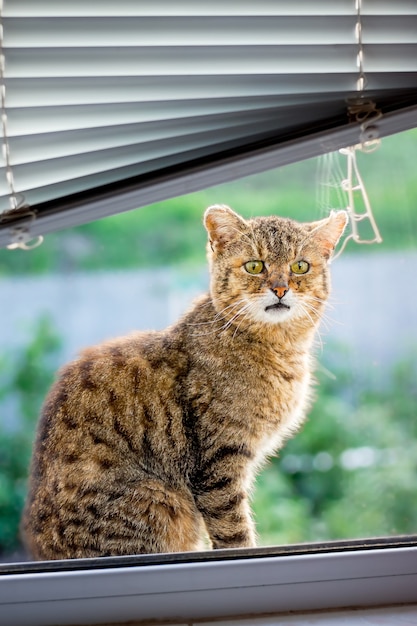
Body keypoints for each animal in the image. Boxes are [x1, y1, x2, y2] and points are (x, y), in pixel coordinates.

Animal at [23, 204, 348, 556]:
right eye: (255, 266)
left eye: (300, 266)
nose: (279, 289)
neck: (278, 347)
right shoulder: (219, 463)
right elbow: (234, 532)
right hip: (158, 499)